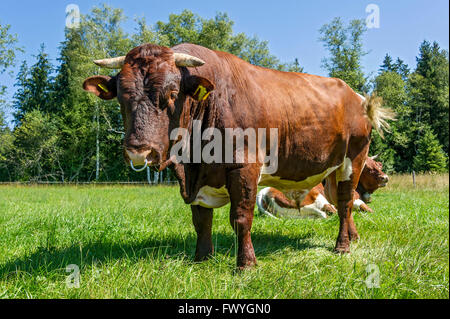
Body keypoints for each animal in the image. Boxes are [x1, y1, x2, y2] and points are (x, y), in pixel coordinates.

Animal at [258, 156, 388, 219]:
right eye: (368, 169)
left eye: (378, 166)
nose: (385, 177)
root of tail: (263, 192)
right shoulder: (355, 199)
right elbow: (369, 209)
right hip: (317, 200)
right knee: (328, 212)